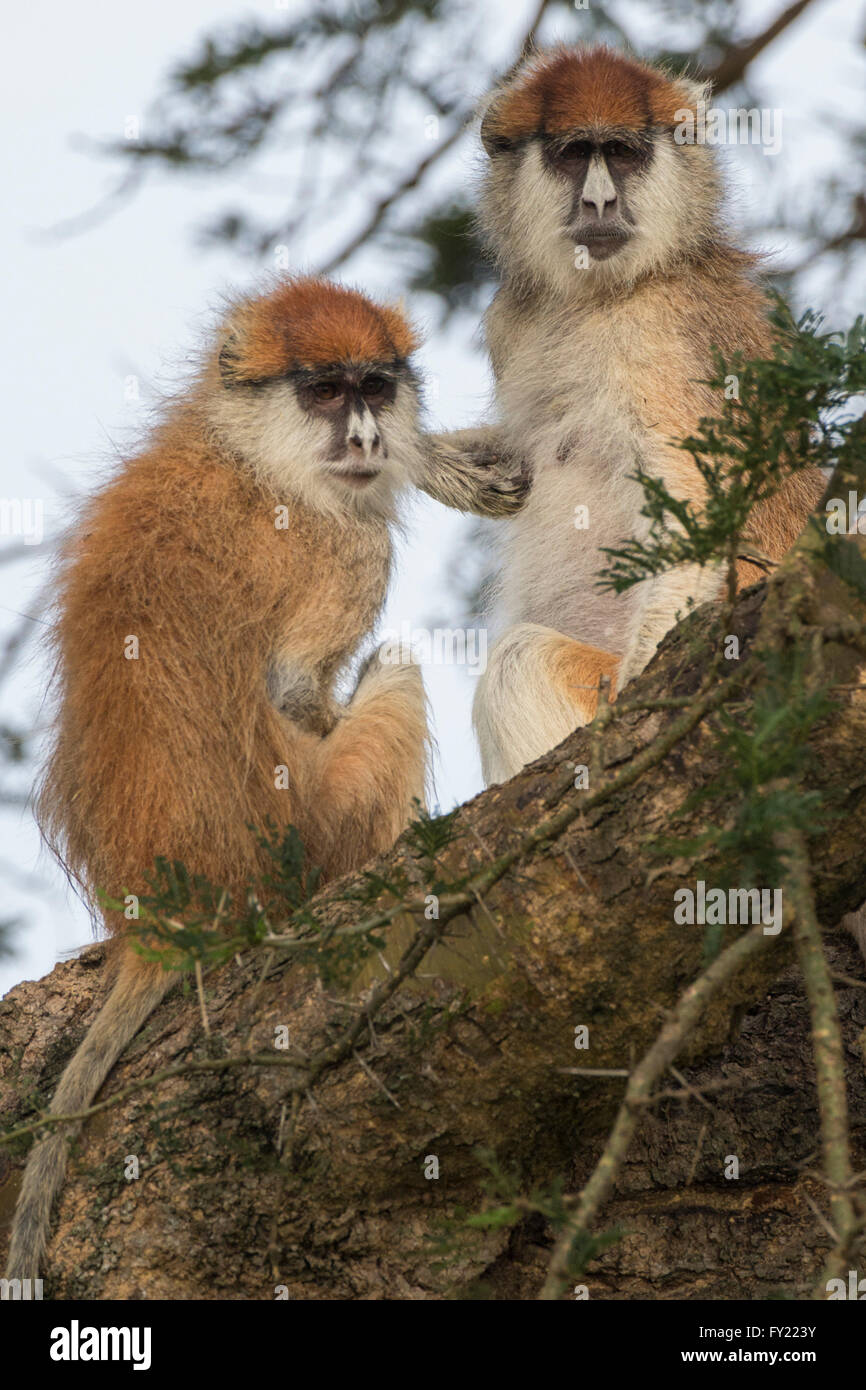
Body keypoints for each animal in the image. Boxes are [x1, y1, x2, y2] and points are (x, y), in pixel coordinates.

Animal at [5, 273, 439, 1278]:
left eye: (375, 385)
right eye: (325, 391)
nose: (366, 441)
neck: (248, 452)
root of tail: (169, 917)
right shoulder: (340, 544)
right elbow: (297, 688)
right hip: (325, 827)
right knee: (397, 677)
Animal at [447, 48, 828, 789]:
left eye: (622, 153)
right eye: (574, 154)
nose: (599, 201)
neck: (601, 294)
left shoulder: (656, 342)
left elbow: (698, 518)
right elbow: (518, 460)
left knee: (520, 661)